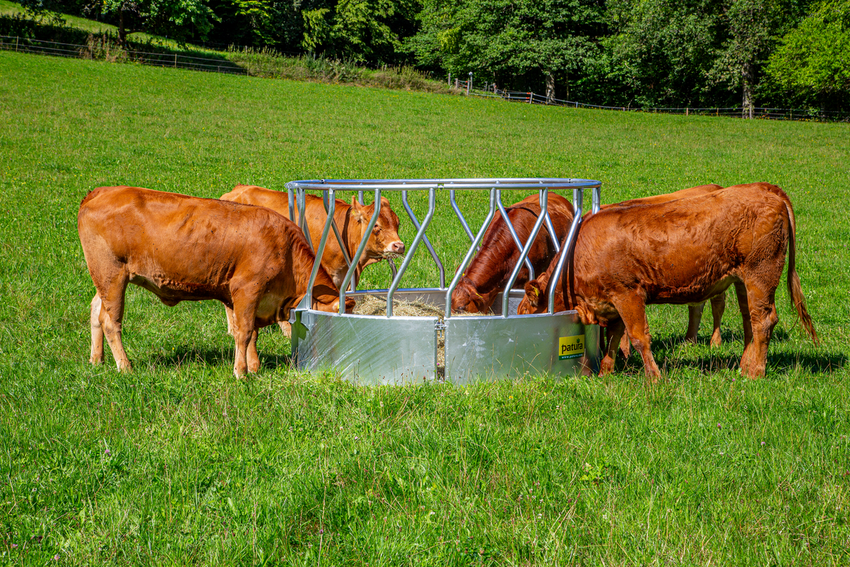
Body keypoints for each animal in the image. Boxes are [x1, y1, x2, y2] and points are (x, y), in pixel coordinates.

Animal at [74, 186, 350, 378]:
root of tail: (102, 191)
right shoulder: (246, 289)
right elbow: (244, 332)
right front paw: (241, 372)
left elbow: (251, 333)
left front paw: (254, 366)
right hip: (112, 275)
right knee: (111, 322)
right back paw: (125, 366)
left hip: (104, 279)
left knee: (96, 311)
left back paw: (96, 360)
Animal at [516, 184, 816, 382]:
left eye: (526, 310)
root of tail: (766, 189)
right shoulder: (612, 301)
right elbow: (614, 338)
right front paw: (605, 372)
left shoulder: (628, 295)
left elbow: (638, 338)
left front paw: (654, 377)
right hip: (743, 281)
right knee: (749, 321)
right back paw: (744, 366)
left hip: (761, 274)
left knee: (763, 321)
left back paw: (756, 372)